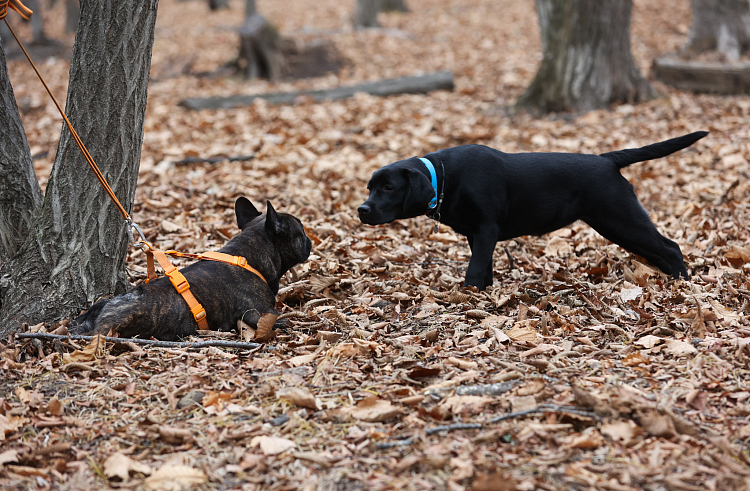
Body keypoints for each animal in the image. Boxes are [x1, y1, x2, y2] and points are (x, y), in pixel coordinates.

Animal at [362, 133, 708, 290]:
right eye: (369, 187)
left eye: (388, 188)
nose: (361, 209)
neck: (444, 176)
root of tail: (607, 159)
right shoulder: (478, 234)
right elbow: (484, 267)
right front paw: (485, 293)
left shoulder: (486, 228)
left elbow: (474, 269)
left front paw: (468, 294)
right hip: (615, 224)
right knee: (659, 251)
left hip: (621, 218)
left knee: (671, 247)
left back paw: (684, 285)